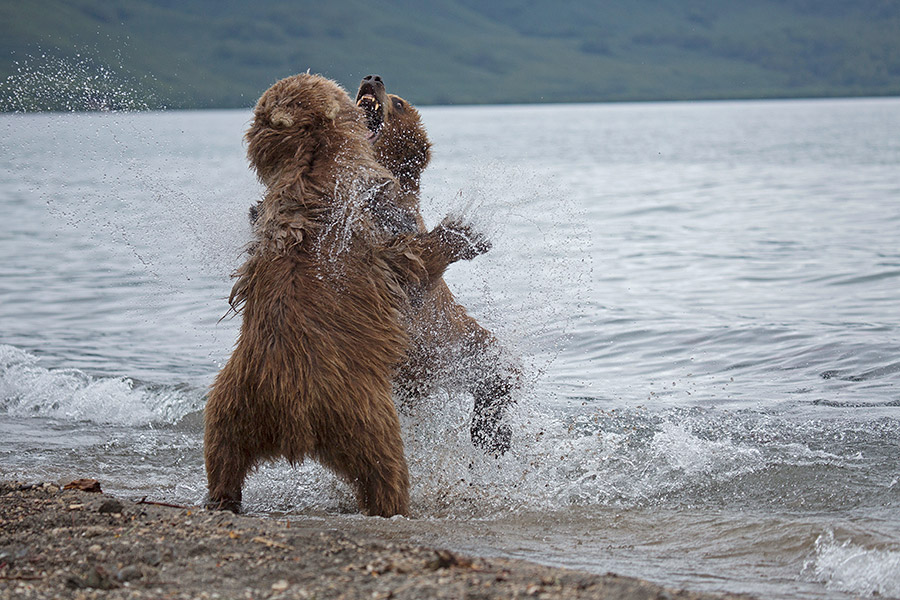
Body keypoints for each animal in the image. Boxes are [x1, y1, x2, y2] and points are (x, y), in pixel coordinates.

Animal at [203, 74, 488, 516]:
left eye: (398, 102)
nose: (373, 77)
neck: (313, 162)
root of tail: (290, 423)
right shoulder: (371, 222)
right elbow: (412, 261)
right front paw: (464, 234)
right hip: (365, 412)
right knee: (385, 465)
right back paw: (395, 503)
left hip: (230, 404)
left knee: (222, 453)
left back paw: (221, 498)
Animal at [354, 75, 516, 454]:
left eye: (398, 102)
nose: (372, 77)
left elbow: (417, 262)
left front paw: (466, 234)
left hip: (459, 345)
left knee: (498, 373)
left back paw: (492, 434)